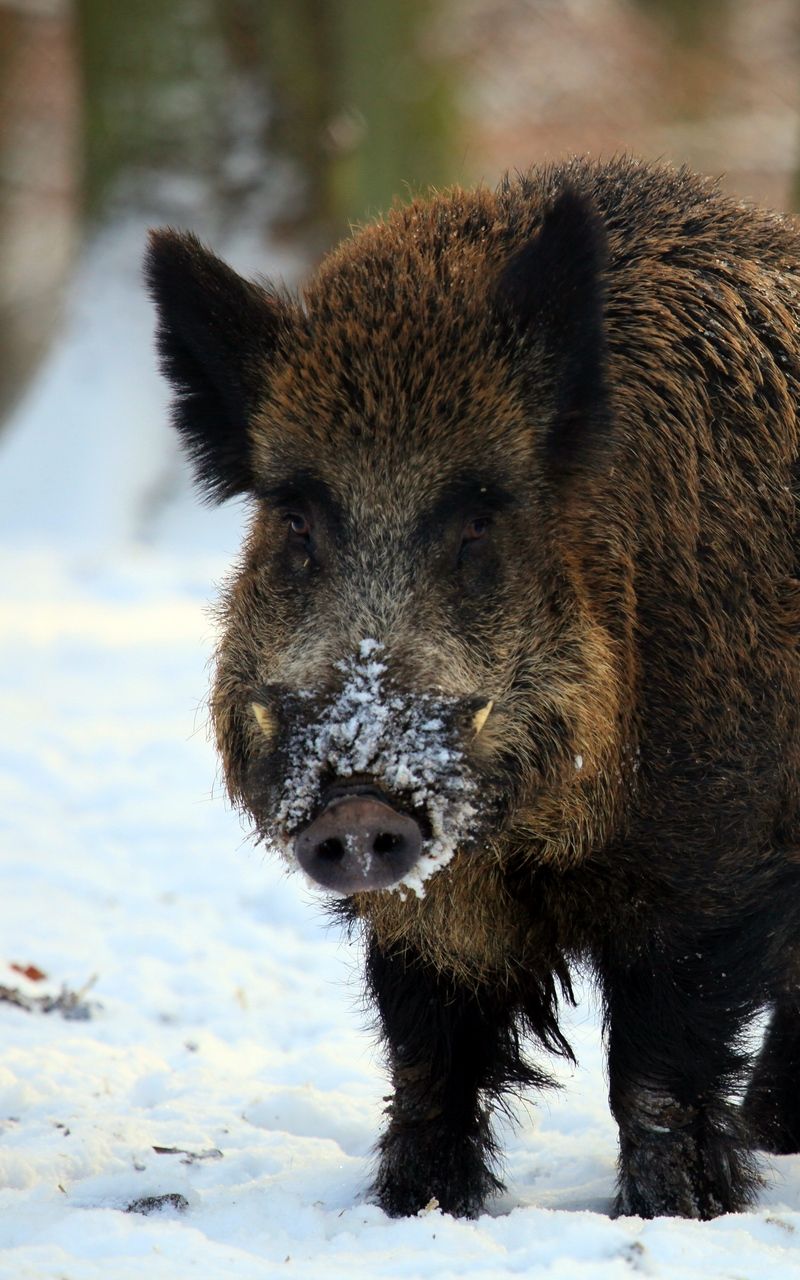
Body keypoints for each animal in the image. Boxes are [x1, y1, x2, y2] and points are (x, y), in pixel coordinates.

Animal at [145, 155, 800, 1221]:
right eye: (297, 518)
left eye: (481, 517)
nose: (358, 804)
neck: (529, 842)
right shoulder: (431, 907)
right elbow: (429, 1055)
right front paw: (412, 1209)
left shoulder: (710, 862)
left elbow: (656, 1068)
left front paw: (674, 1214)